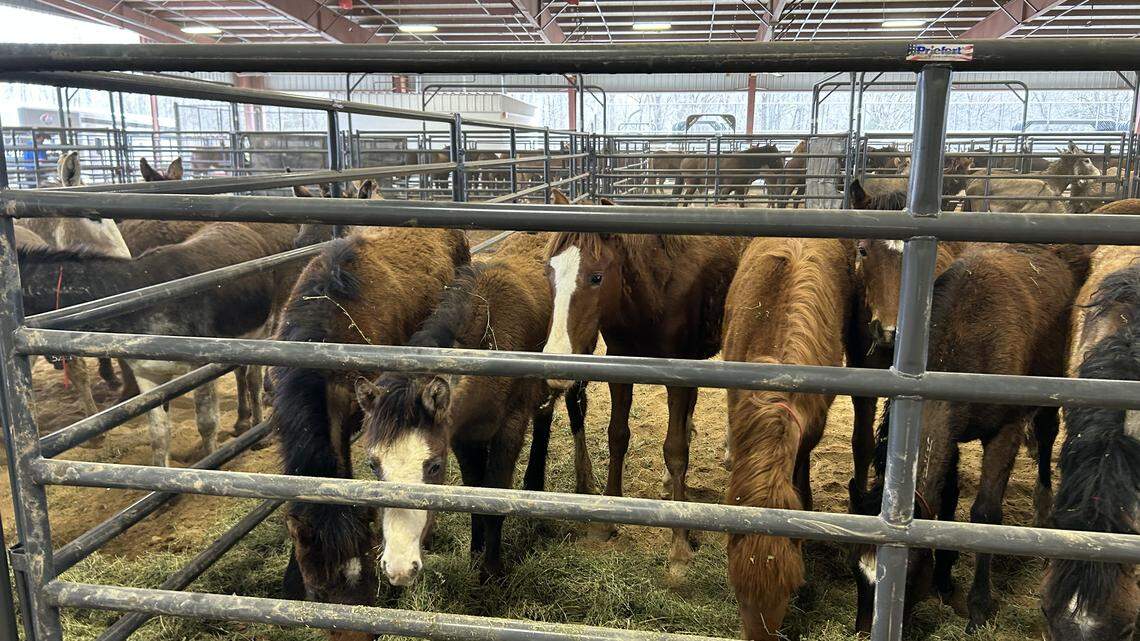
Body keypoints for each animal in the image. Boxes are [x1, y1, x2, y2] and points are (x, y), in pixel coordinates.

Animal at [357, 232, 587, 586]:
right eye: (373, 464)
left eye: (434, 467)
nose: (399, 569)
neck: (486, 344)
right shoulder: (462, 437)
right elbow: (474, 494)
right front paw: (476, 556)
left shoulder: (509, 429)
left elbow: (494, 497)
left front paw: (492, 571)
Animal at [541, 190, 744, 576]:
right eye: (550, 270)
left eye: (596, 277)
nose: (557, 362)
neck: (653, 291)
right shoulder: (621, 367)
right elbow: (617, 436)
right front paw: (607, 520)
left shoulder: (679, 376)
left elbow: (676, 449)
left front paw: (679, 544)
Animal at [849, 242, 1090, 634]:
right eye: (856, 570)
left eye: (907, 577)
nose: (862, 632)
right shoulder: (949, 437)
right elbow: (947, 499)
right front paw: (945, 578)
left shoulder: (1005, 433)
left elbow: (985, 514)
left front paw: (978, 606)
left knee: (1046, 437)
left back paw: (1044, 512)